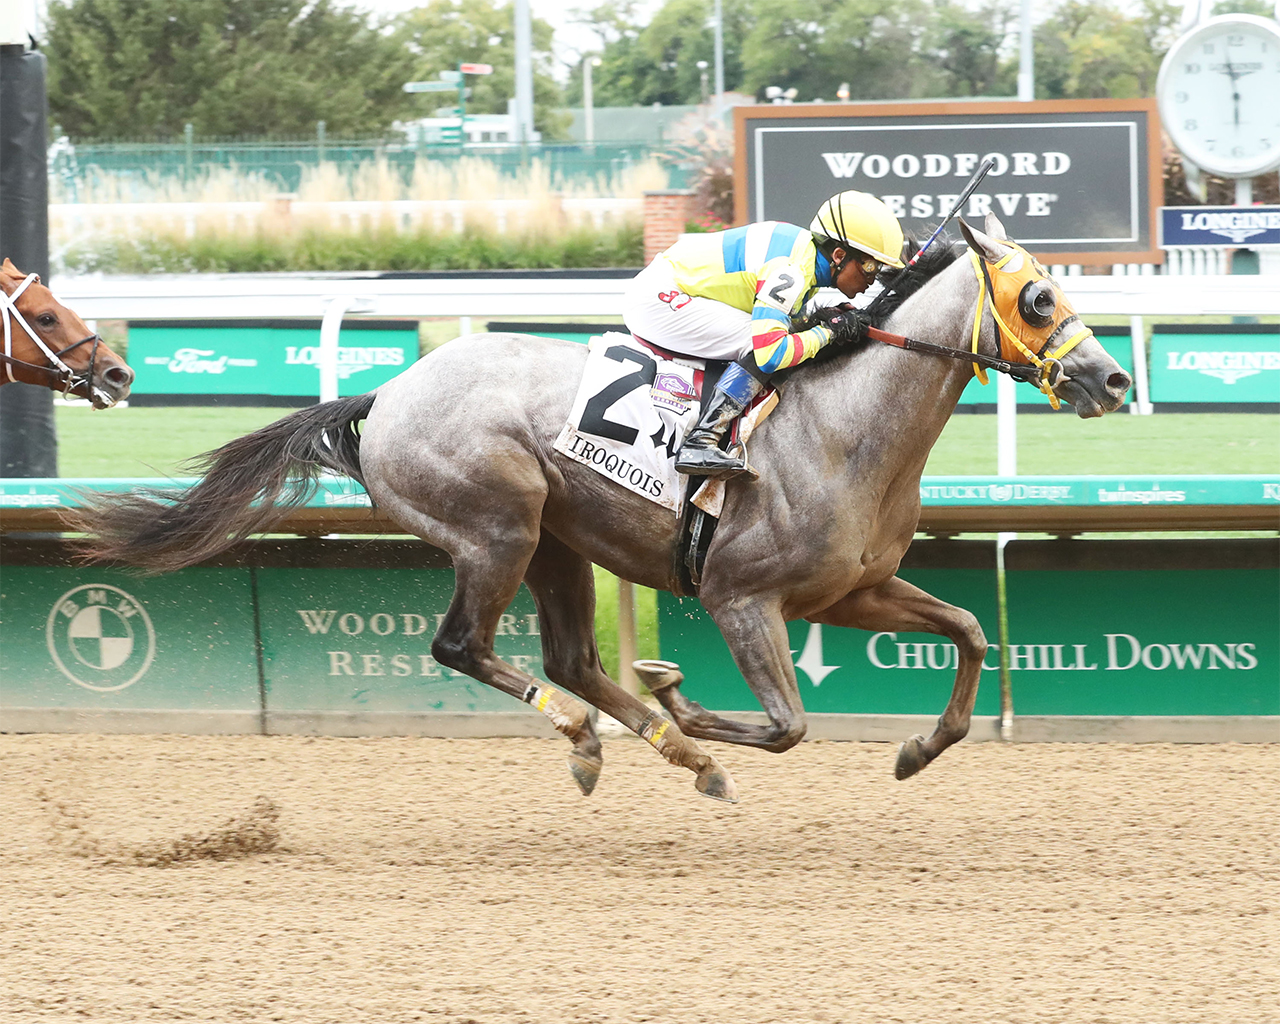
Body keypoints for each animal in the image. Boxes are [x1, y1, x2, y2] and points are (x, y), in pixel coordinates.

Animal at [72, 216, 1131, 803]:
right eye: (1039, 297)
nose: (1113, 379)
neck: (845, 427)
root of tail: (388, 394)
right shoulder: (744, 600)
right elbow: (786, 723)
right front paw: (681, 693)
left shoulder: (851, 593)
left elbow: (969, 632)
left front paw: (917, 749)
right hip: (497, 526)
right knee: (463, 646)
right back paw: (600, 735)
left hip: (557, 541)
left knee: (571, 659)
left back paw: (671, 752)